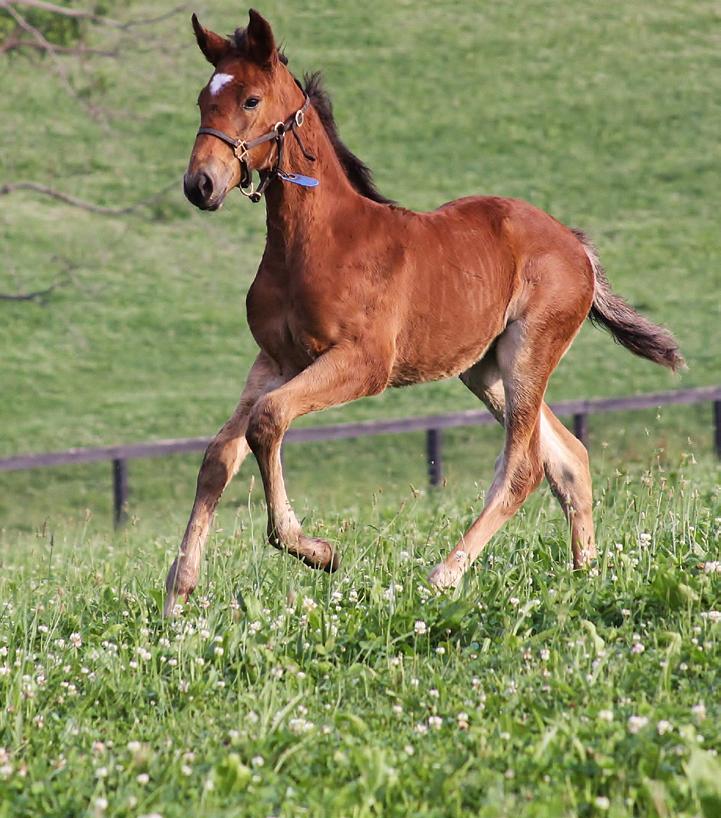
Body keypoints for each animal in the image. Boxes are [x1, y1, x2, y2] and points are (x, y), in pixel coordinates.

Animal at [162, 11, 680, 612]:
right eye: (203, 99)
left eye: (250, 100)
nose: (200, 185)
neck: (316, 243)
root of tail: (575, 245)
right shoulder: (274, 360)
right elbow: (219, 455)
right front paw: (179, 595)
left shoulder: (364, 364)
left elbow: (267, 421)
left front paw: (315, 550)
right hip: (484, 368)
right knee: (568, 458)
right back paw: (586, 576)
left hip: (529, 350)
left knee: (523, 466)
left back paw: (444, 577)